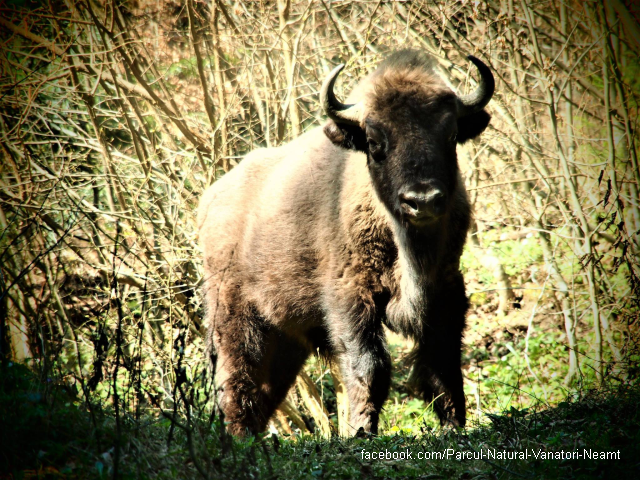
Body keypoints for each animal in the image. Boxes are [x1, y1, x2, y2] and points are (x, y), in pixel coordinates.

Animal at [199, 50, 496, 436]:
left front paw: (454, 426)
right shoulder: (351, 297)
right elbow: (369, 365)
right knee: (237, 381)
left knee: (265, 391)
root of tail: (209, 201)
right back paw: (240, 438)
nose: (423, 200)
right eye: (374, 141)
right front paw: (361, 431)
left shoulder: (446, 289)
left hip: (286, 337)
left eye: (451, 134)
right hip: (236, 319)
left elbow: (443, 362)